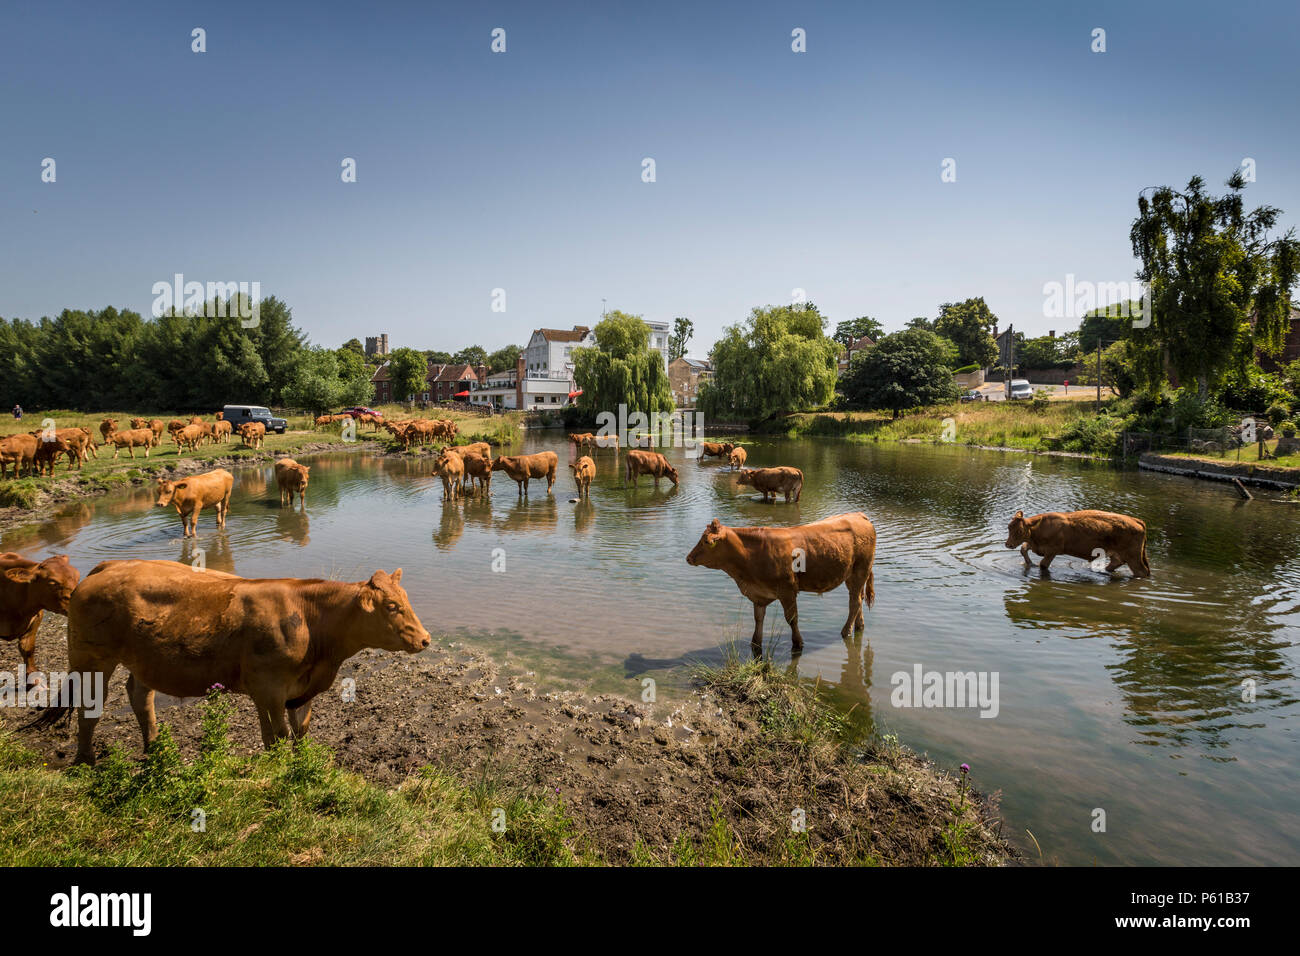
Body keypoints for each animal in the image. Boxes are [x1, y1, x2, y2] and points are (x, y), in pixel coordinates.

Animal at [686, 512, 878, 655]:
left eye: (706, 541)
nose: (688, 558)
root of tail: (859, 515)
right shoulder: (759, 594)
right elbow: (758, 618)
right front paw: (755, 644)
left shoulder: (787, 591)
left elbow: (792, 618)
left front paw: (798, 643)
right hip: (851, 575)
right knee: (858, 599)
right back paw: (858, 626)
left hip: (860, 570)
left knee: (854, 602)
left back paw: (846, 631)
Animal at [1003, 509, 1149, 574]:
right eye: (1009, 527)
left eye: (1019, 531)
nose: (1008, 544)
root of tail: (1136, 520)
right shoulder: (1036, 545)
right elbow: (1023, 548)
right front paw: (1029, 563)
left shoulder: (1052, 550)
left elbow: (1043, 565)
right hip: (1118, 554)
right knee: (1116, 562)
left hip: (1134, 556)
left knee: (1142, 571)